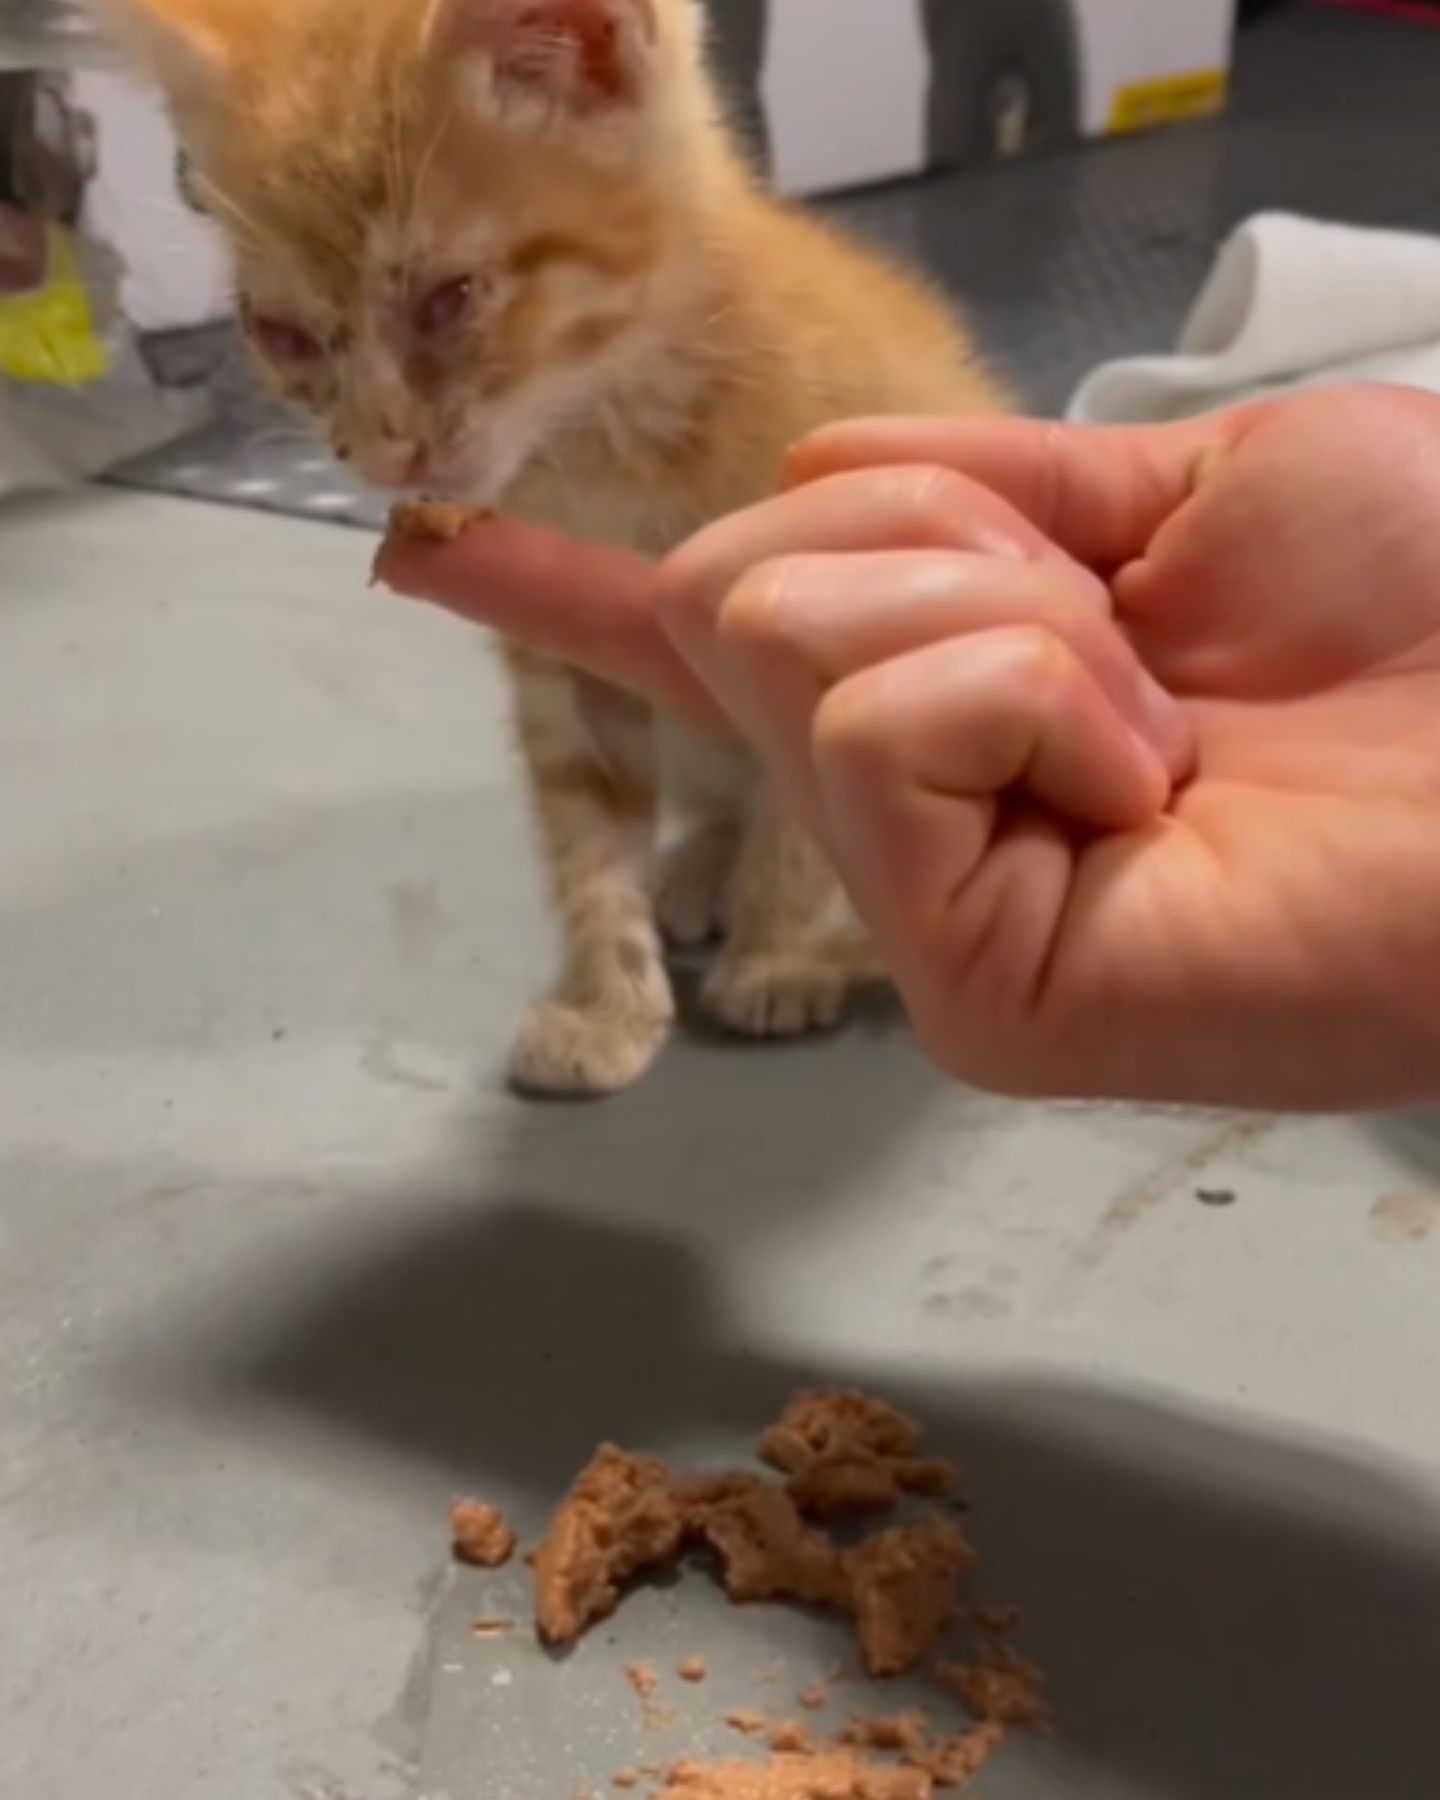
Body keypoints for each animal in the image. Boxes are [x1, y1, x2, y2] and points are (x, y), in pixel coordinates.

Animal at [101, 0, 1008, 1094]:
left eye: (450, 297)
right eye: (282, 337)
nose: (380, 447)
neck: (613, 441)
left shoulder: (832, 589)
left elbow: (804, 813)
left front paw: (778, 952)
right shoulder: (564, 656)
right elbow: (586, 834)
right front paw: (607, 1005)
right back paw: (700, 867)